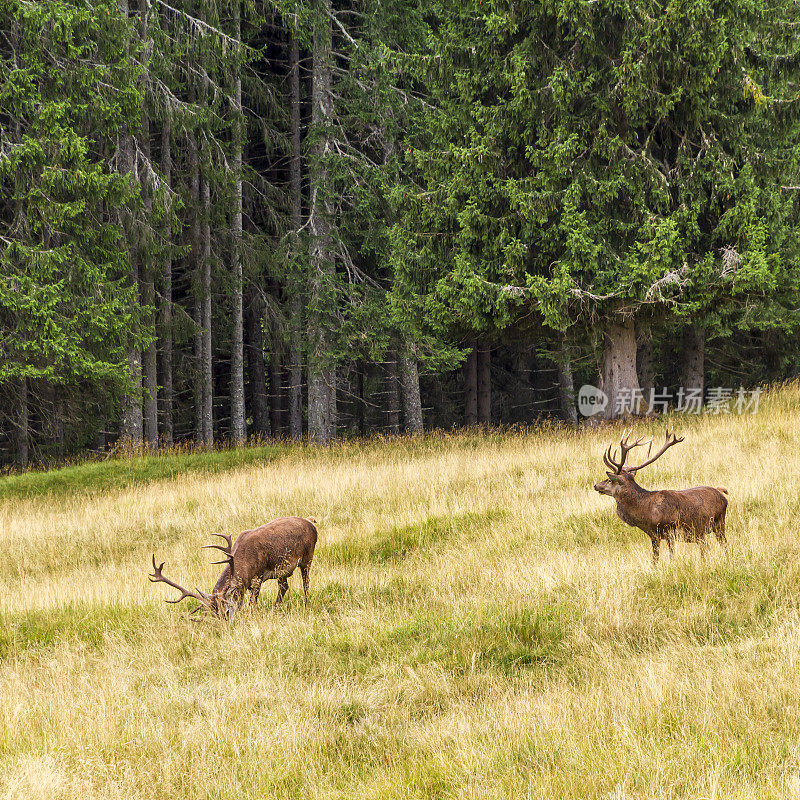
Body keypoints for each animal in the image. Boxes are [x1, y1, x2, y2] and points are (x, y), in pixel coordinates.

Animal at [148, 516, 318, 616]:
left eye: (226, 611)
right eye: (214, 614)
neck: (245, 565)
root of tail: (311, 522)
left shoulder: (258, 576)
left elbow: (251, 605)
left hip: (307, 557)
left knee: (306, 582)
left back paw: (306, 604)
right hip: (282, 571)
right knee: (284, 587)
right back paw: (275, 609)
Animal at [592, 428, 724, 564]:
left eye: (609, 480)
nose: (596, 485)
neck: (646, 513)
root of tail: (722, 494)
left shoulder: (670, 530)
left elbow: (669, 556)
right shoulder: (653, 534)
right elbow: (655, 558)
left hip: (719, 522)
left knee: (723, 545)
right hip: (701, 533)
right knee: (705, 548)